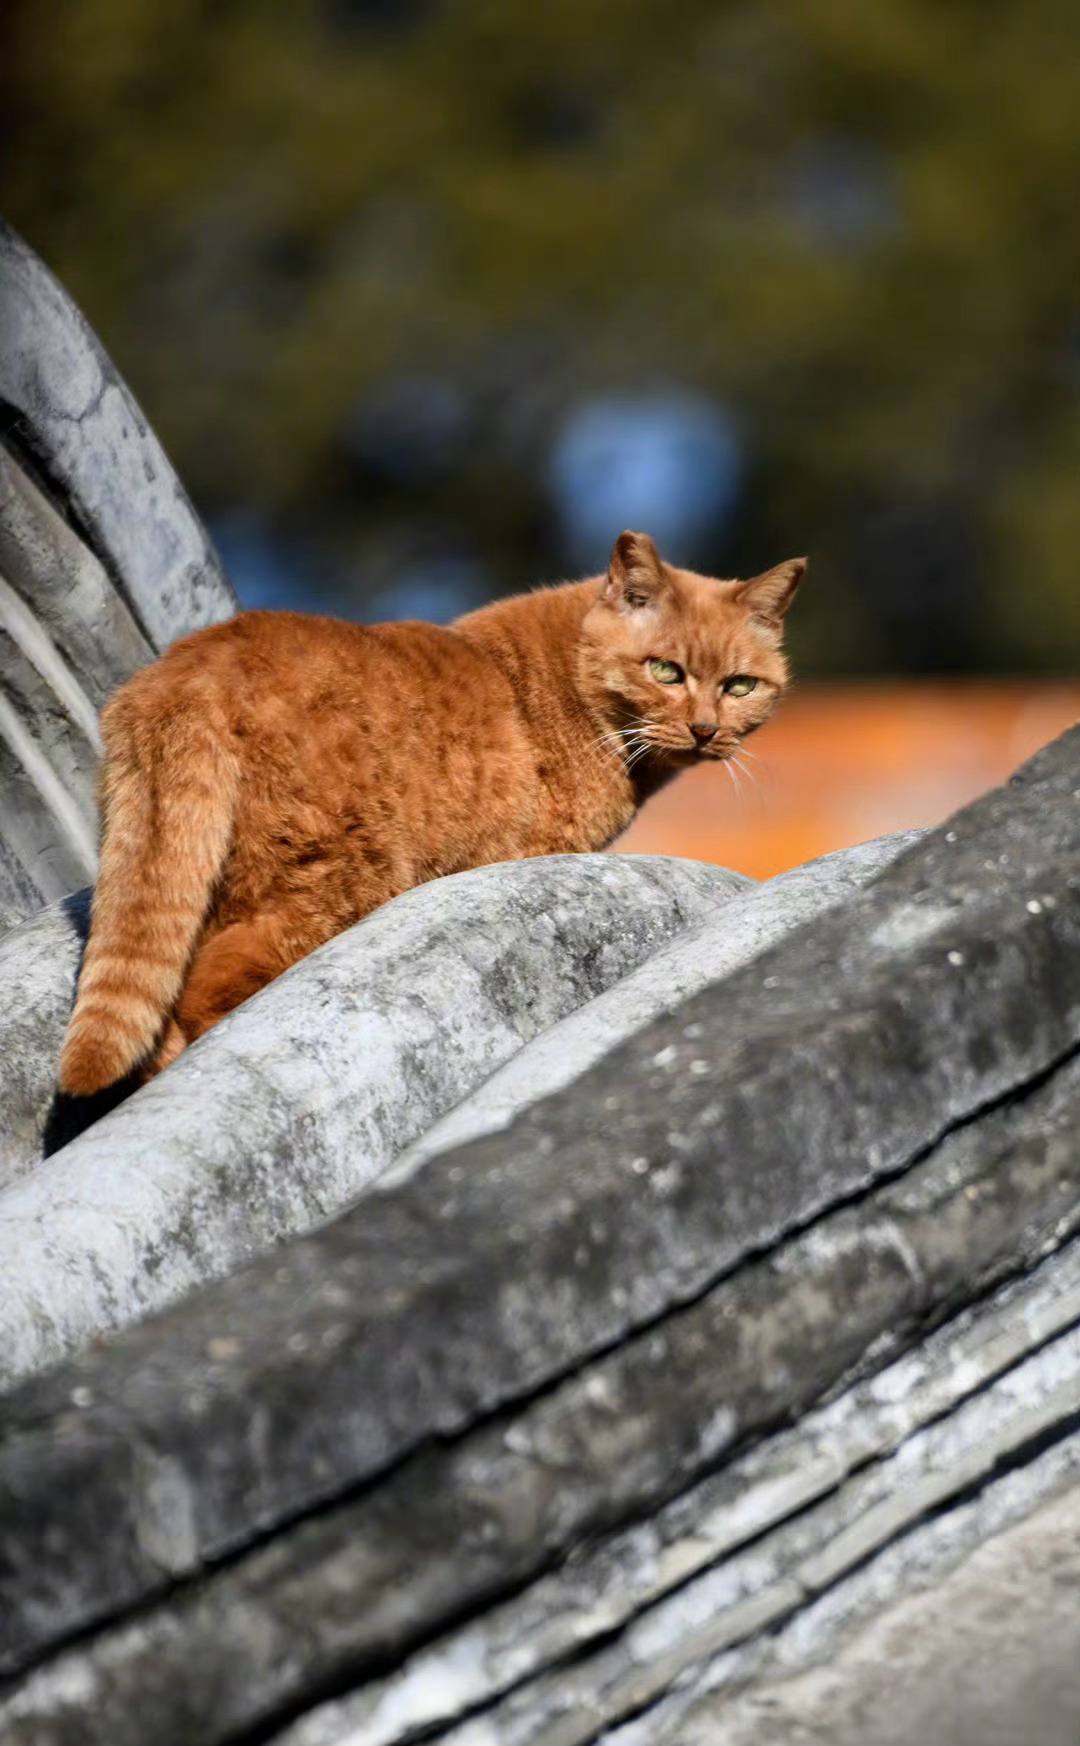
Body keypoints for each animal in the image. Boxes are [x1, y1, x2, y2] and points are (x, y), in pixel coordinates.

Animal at [57, 530, 802, 1089]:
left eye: (741, 686)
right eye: (666, 671)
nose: (705, 730)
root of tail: (188, 670)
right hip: (334, 881)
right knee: (208, 988)